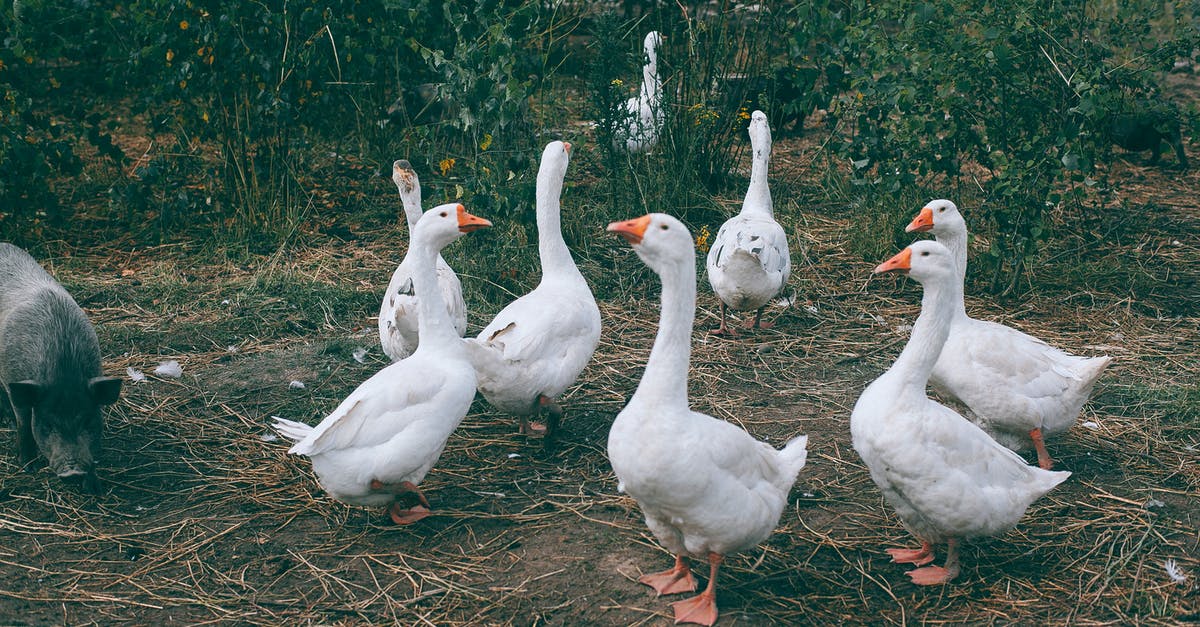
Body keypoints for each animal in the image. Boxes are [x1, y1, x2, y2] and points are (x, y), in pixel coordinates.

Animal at [0, 243, 121, 492]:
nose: (73, 472)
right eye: (47, 424)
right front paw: (28, 466)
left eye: (88, 420)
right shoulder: (12, 378)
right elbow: (24, 423)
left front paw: (95, 490)